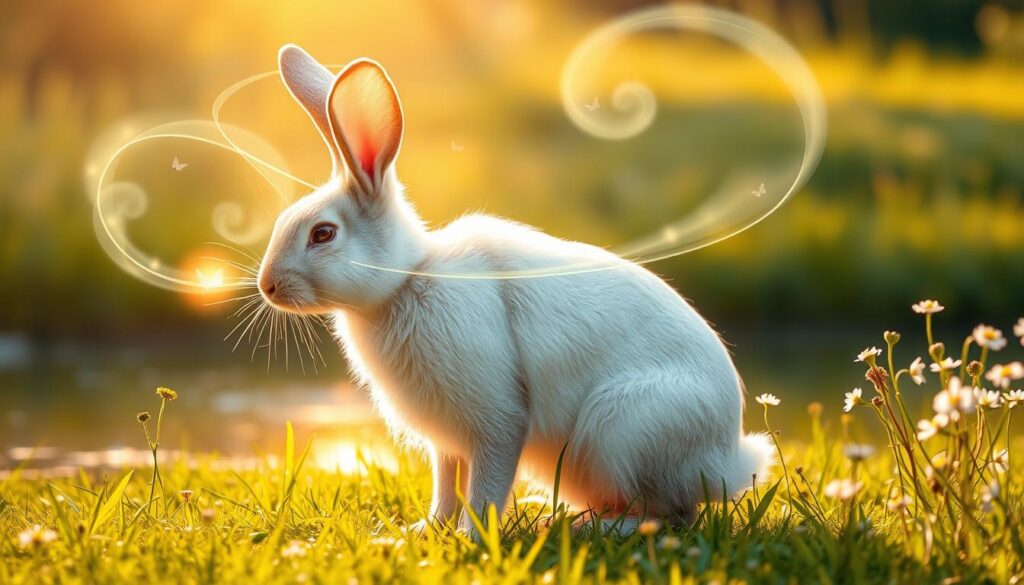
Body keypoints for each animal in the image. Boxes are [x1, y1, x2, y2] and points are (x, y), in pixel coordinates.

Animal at [257, 44, 774, 535]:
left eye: (323, 234)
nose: (268, 286)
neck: (407, 280)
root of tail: (729, 459)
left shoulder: (498, 420)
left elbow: (486, 484)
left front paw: (471, 538)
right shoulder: (446, 440)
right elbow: (446, 484)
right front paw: (426, 530)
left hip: (621, 428)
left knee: (671, 513)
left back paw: (593, 527)